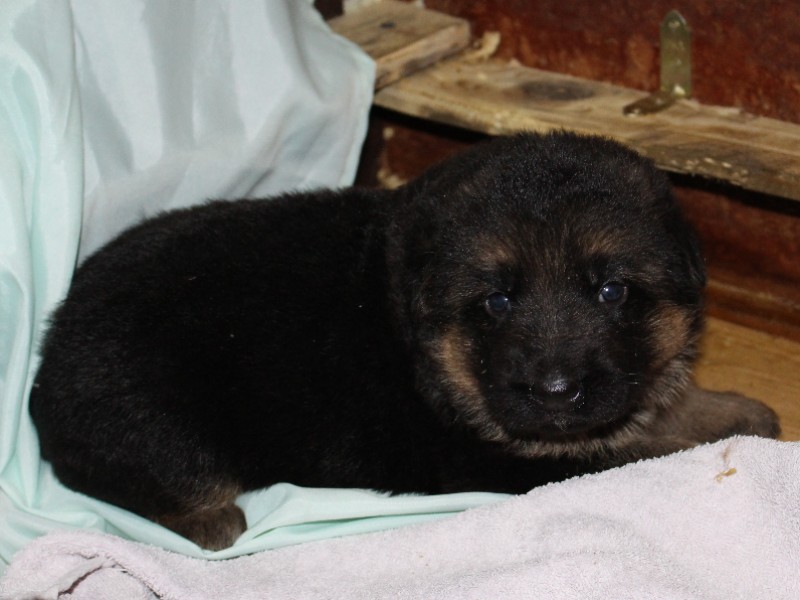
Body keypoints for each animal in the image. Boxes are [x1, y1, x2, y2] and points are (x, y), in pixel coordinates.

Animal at [29, 132, 779, 550]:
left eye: (612, 292)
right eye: (496, 302)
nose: (557, 391)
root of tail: (48, 354)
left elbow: (661, 407)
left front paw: (734, 407)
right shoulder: (506, 460)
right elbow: (645, 448)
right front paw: (733, 428)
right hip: (162, 422)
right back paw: (210, 522)